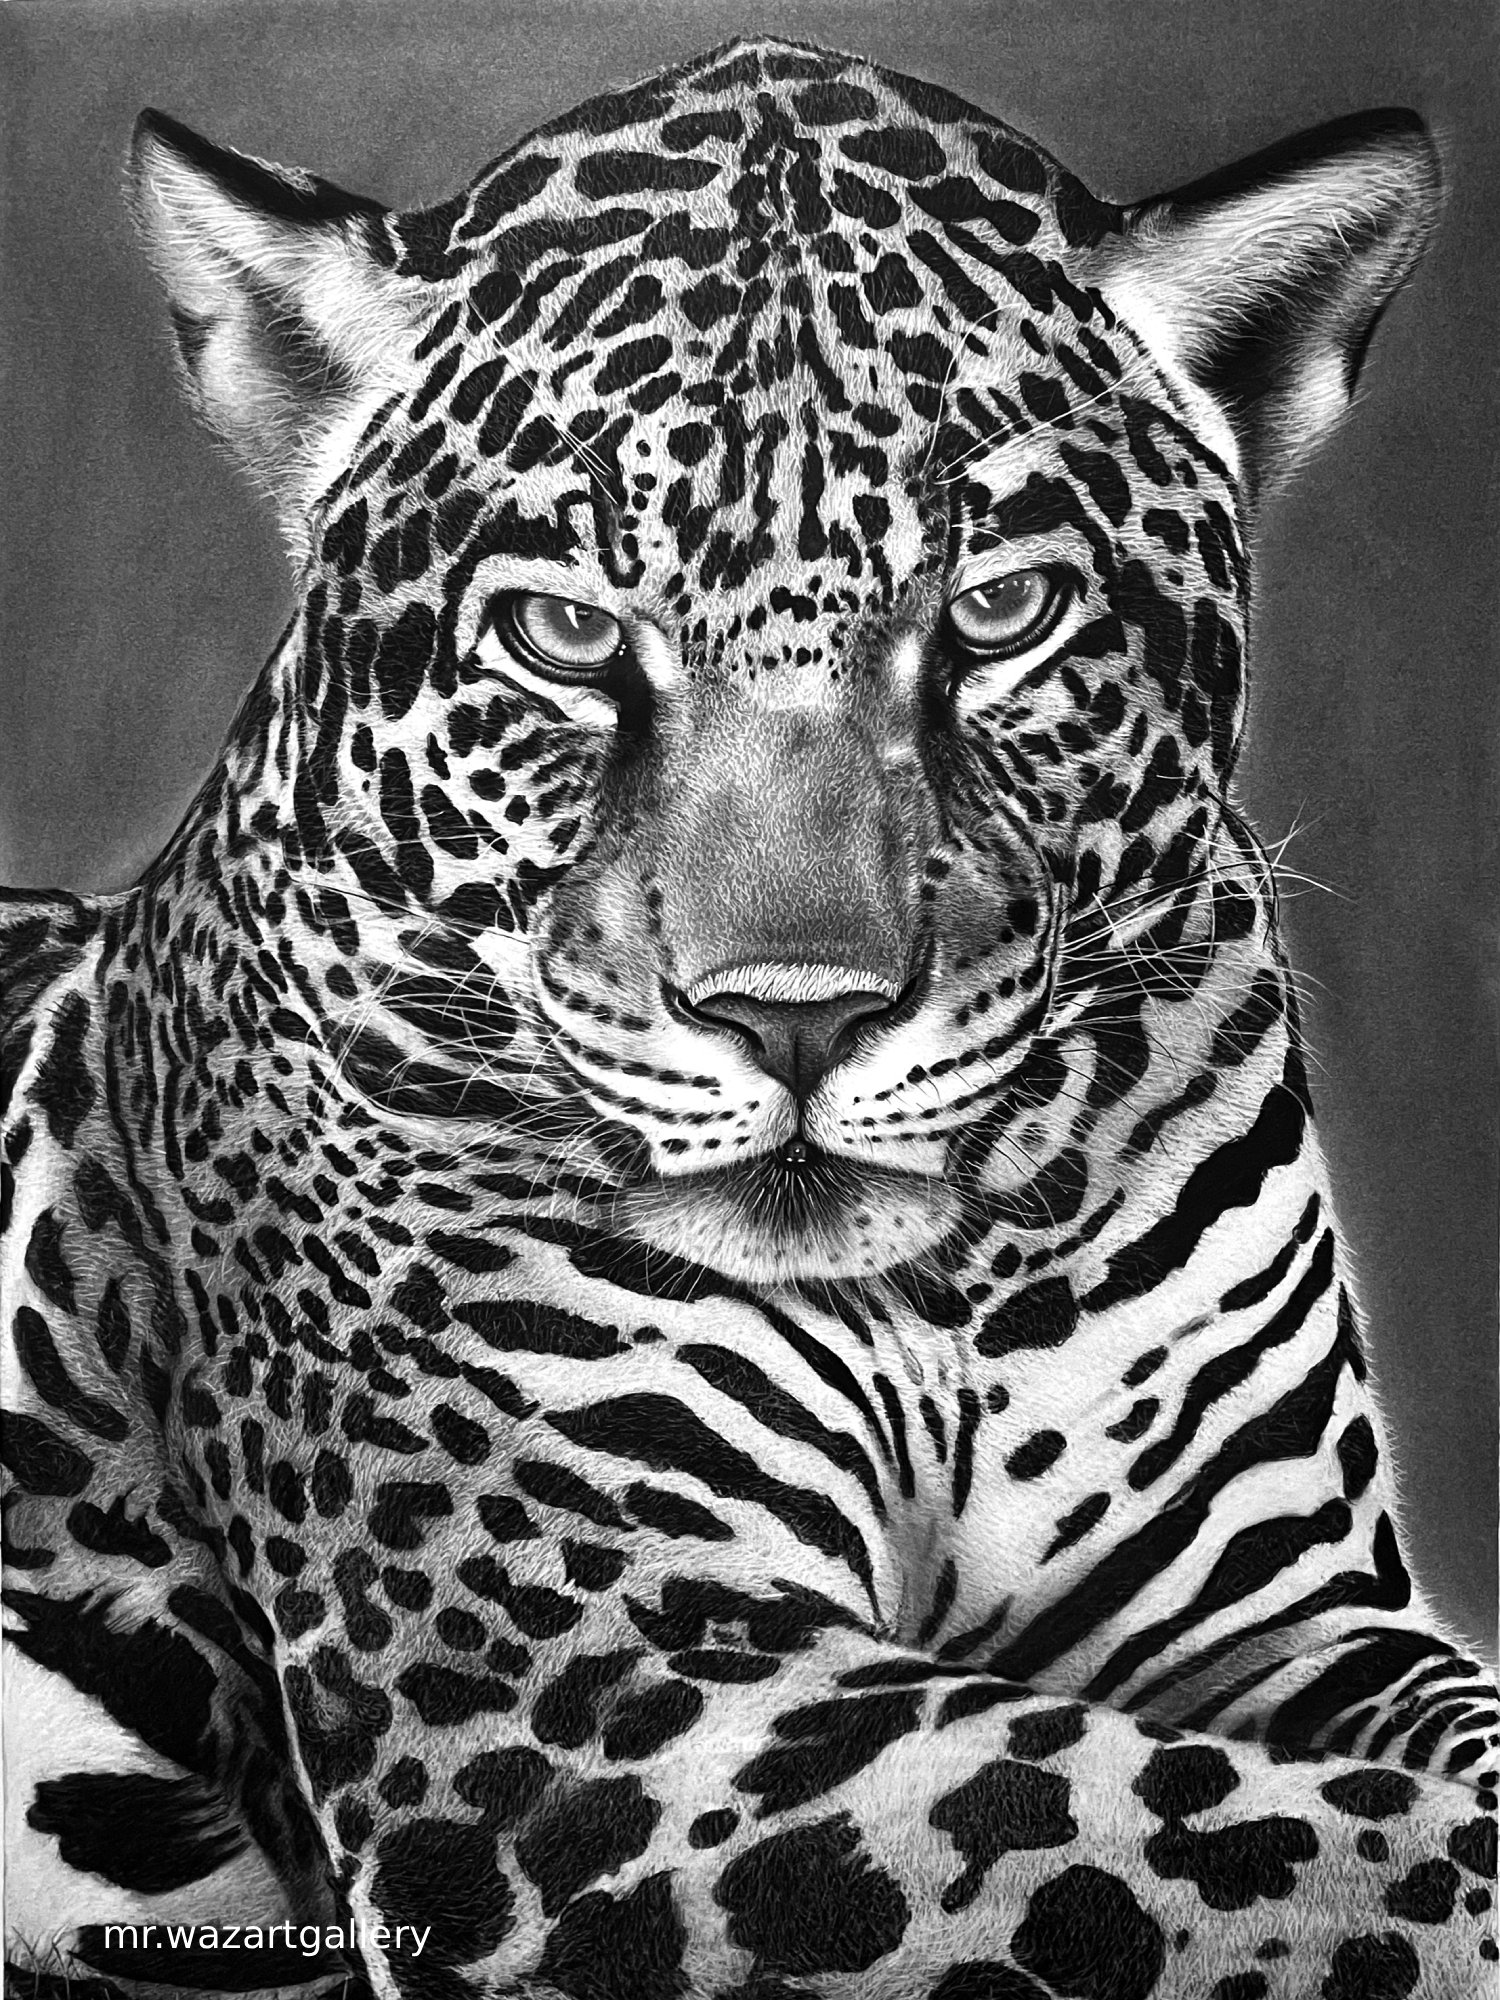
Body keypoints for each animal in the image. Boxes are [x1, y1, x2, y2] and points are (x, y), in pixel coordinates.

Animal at [3, 35, 1496, 2000]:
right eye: (566, 634)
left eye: (999, 611)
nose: (798, 1021)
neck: (939, 1310)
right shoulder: (612, 1702)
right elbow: (1324, 1855)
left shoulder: (1286, 1615)